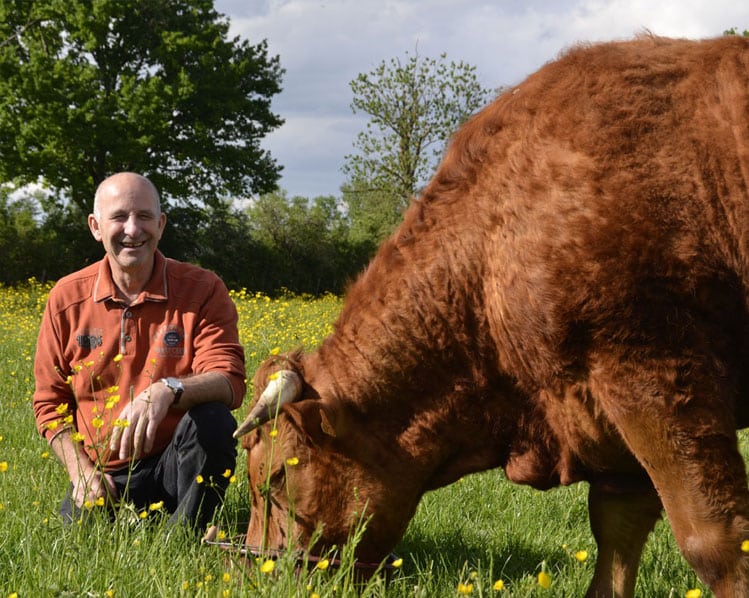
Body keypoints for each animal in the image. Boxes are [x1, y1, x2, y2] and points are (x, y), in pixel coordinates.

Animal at [234, 37, 748, 598]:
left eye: (276, 477)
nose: (257, 570)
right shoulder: (608, 430)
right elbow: (615, 538)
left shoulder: (656, 378)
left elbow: (714, 540)